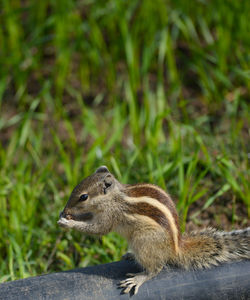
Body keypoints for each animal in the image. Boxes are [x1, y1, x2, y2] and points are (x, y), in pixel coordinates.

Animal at [57, 166, 250, 296]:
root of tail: (175, 248)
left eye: (84, 197)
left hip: (144, 241)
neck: (114, 197)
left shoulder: (111, 215)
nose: (66, 209)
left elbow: (98, 229)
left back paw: (138, 278)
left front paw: (67, 222)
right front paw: (64, 215)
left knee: (156, 268)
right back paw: (130, 255)